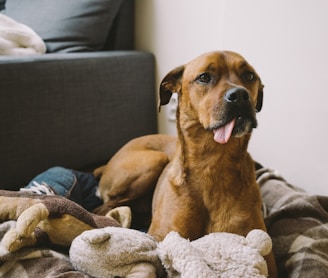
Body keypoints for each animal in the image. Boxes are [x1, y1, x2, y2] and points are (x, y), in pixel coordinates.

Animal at [95, 51, 276, 276]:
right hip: (152, 162)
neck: (213, 163)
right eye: (204, 77)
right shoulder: (166, 236)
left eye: (249, 76)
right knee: (101, 209)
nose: (241, 95)